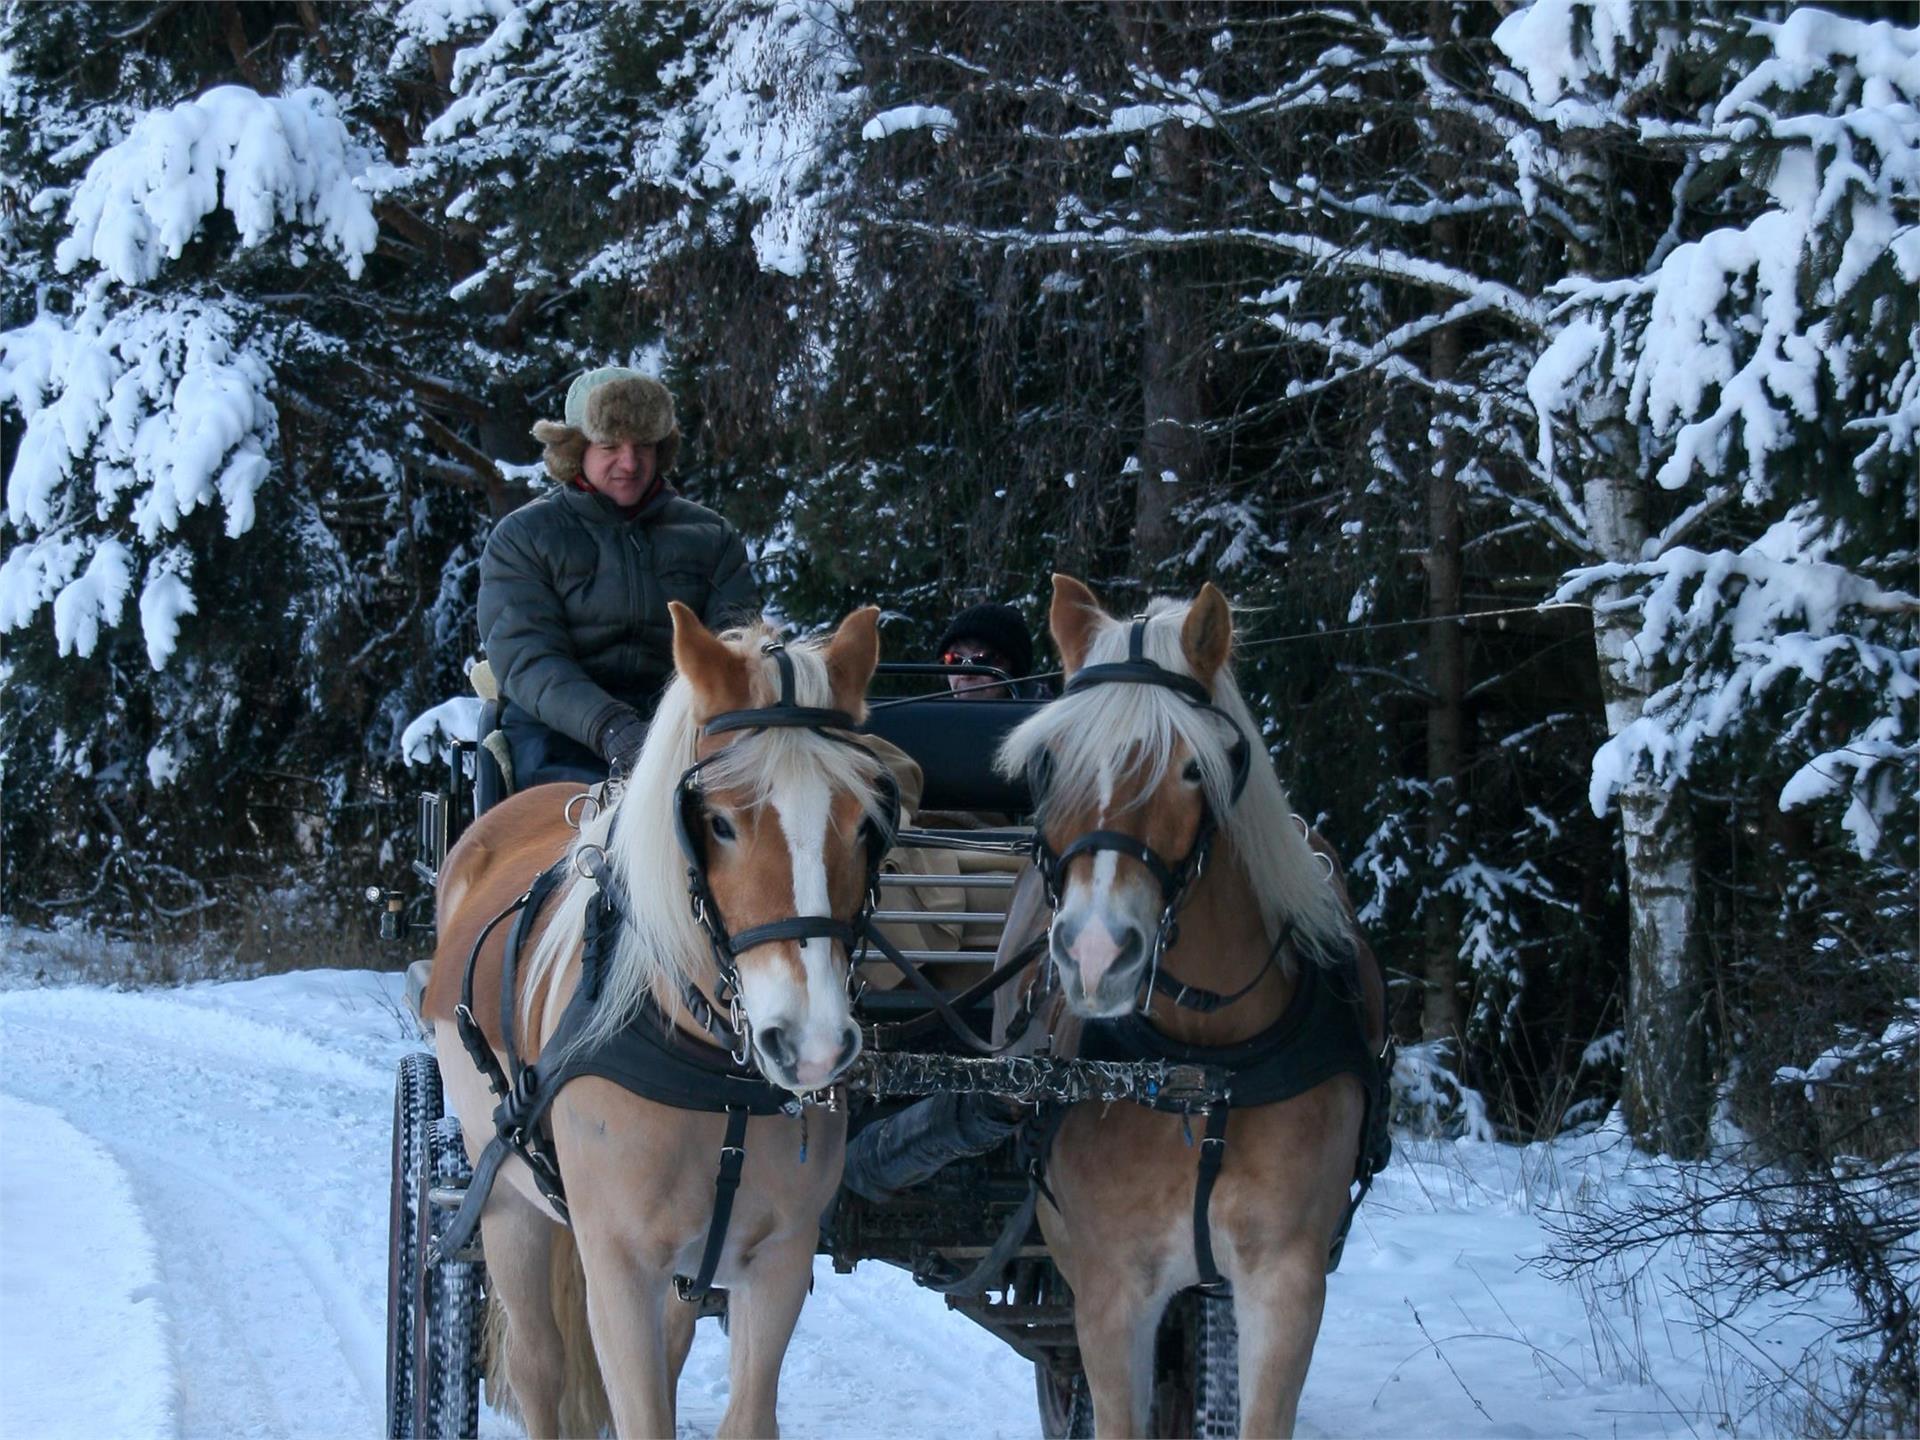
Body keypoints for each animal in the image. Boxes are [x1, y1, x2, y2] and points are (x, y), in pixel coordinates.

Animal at [420, 602, 890, 1436]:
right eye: (721, 823)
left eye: (865, 821)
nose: (809, 1046)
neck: (714, 1074)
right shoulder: (618, 1268)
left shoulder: (777, 1262)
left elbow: (745, 1417)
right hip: (505, 1198)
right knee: (537, 1366)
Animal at [998, 576, 1390, 1440]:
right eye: (1050, 761)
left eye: (1190, 769)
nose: (1096, 953)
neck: (1201, 1069)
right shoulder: (1110, 1289)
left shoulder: (1286, 1278)